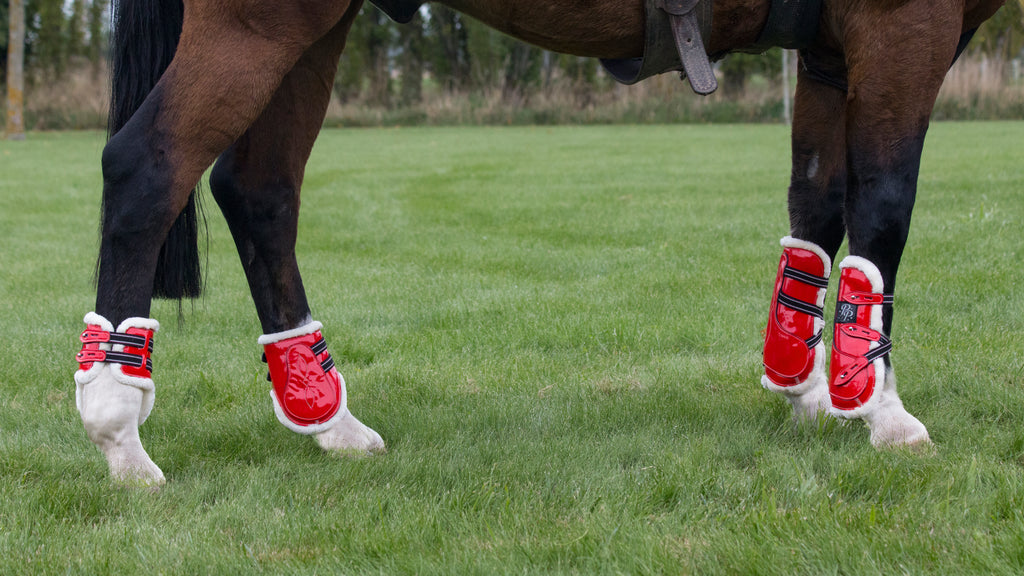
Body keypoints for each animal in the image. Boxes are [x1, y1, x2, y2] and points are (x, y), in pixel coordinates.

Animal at [73, 0, 1006, 485]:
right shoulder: (902, 24)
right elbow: (882, 208)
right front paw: (879, 407)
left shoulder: (827, 50)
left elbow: (816, 209)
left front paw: (806, 384)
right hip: (260, 20)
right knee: (148, 168)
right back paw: (116, 422)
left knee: (259, 190)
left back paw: (323, 411)